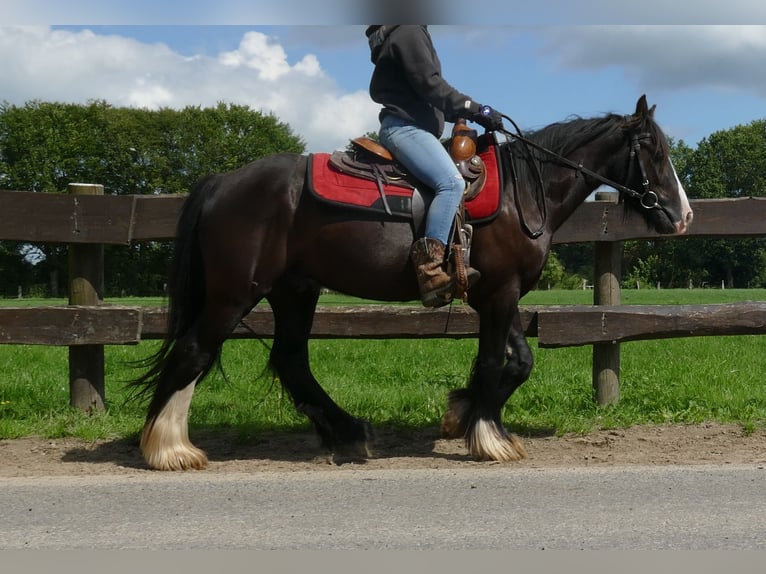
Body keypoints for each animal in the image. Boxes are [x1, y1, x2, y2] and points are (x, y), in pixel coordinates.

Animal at [134, 97, 696, 470]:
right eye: (654, 151)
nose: (684, 215)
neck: (522, 193)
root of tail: (220, 183)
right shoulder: (499, 294)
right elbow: (496, 363)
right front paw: (488, 438)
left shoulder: (500, 294)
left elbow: (518, 362)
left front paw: (461, 413)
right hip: (235, 293)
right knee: (194, 351)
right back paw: (169, 448)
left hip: (295, 290)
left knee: (290, 360)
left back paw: (347, 433)